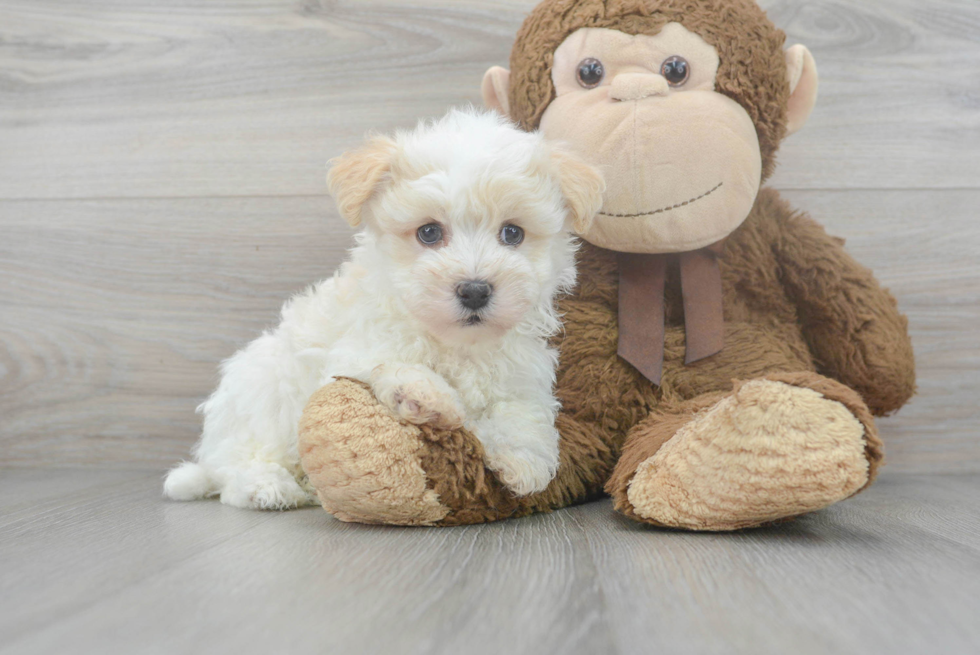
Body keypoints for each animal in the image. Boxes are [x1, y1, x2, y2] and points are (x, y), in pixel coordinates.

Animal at [165, 107, 600, 510]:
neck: (457, 342)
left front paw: (523, 462)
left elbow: (522, 412)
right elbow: (394, 368)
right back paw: (267, 487)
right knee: (237, 467)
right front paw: (428, 398)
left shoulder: (521, 374)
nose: (475, 290)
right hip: (262, 389)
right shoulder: (354, 354)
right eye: (429, 232)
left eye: (512, 233)